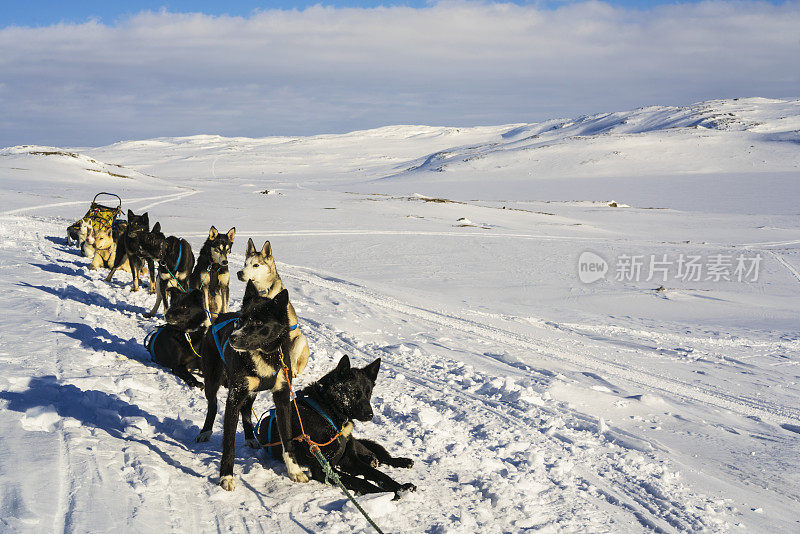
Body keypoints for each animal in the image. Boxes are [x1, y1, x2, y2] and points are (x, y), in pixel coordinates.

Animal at [260, 358, 418, 500]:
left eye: (369, 392)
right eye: (354, 392)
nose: (370, 415)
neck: (327, 410)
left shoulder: (351, 461)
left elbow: (381, 475)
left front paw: (400, 487)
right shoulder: (324, 469)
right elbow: (361, 481)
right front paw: (387, 494)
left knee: (380, 455)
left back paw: (398, 461)